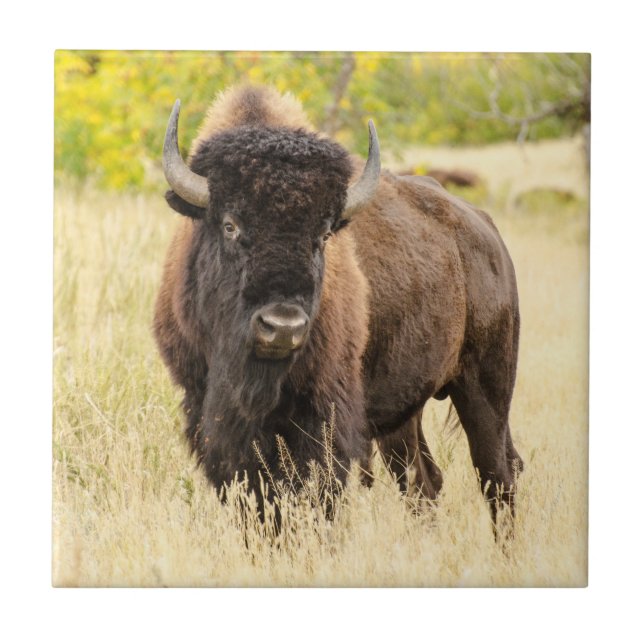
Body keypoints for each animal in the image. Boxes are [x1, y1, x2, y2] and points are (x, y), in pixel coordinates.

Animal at [154, 85, 523, 524]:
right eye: (230, 225)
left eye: (325, 234)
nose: (282, 327)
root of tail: (485, 229)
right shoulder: (210, 414)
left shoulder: (325, 421)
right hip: (405, 414)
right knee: (424, 481)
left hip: (487, 387)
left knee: (497, 477)